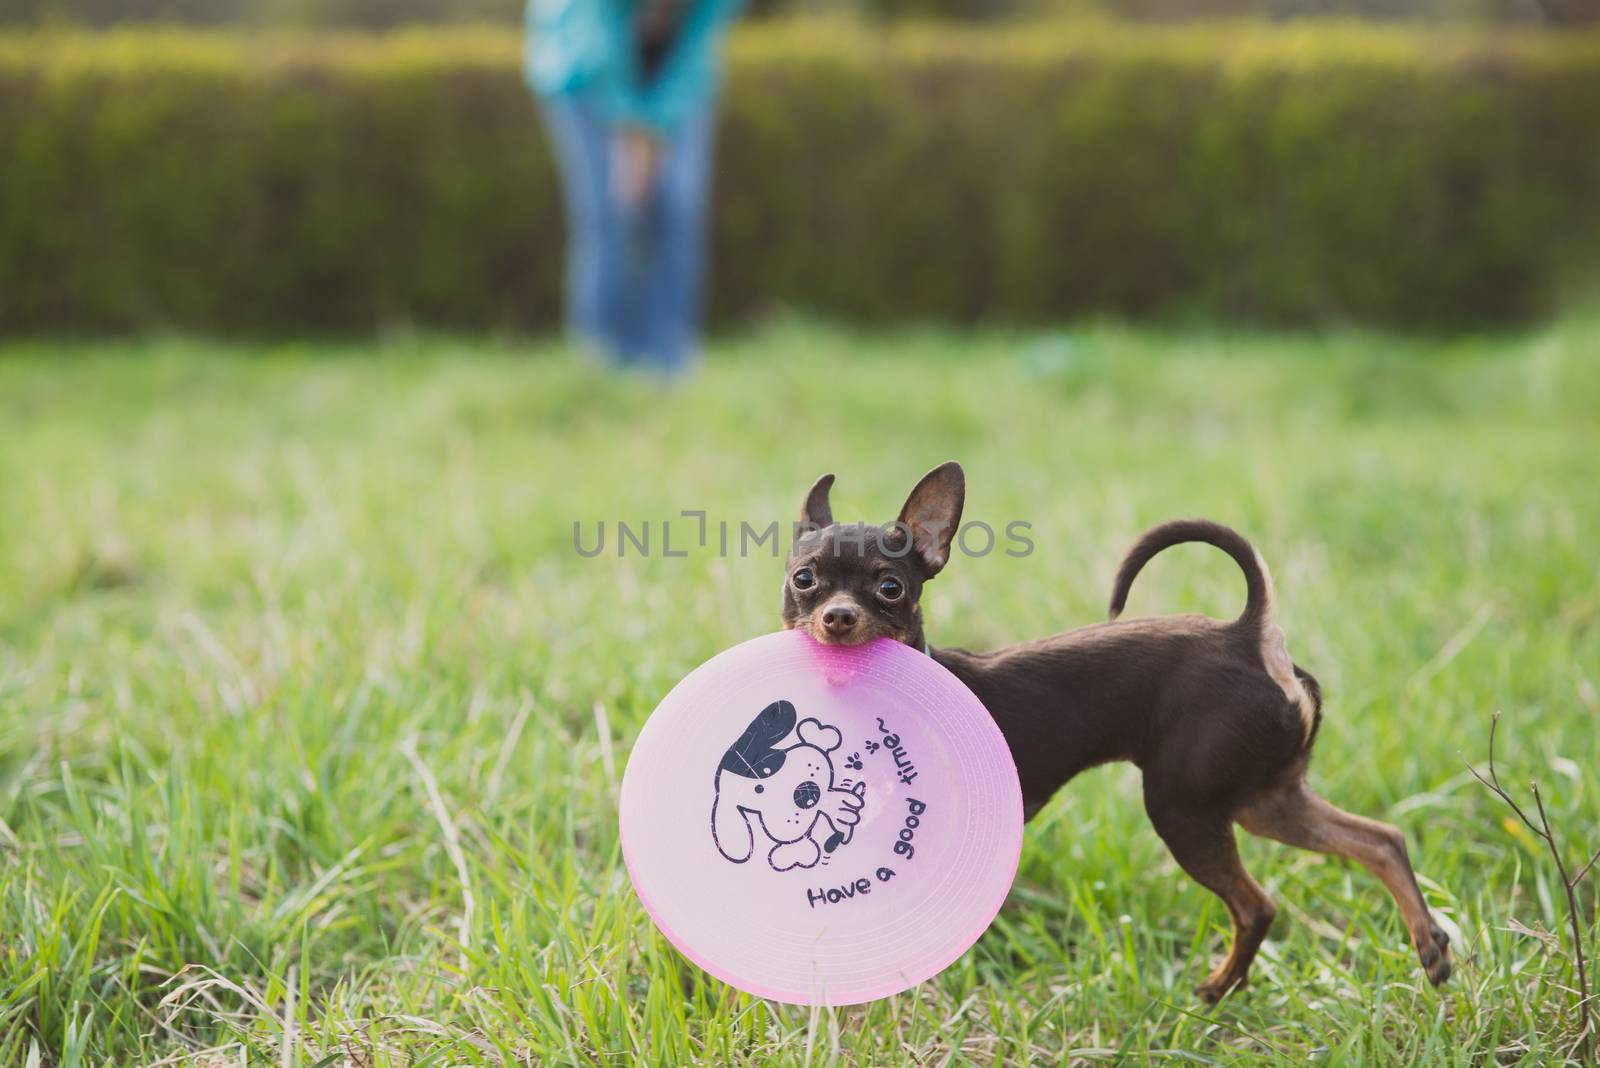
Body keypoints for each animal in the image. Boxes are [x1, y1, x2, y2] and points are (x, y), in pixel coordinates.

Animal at [780, 460, 1459, 1004]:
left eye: (890, 587)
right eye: (803, 580)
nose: (838, 617)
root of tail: (1248, 635)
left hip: (1185, 806)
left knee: (1258, 906)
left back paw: (1217, 990)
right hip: (1266, 799)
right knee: (1380, 840)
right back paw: (1428, 947)